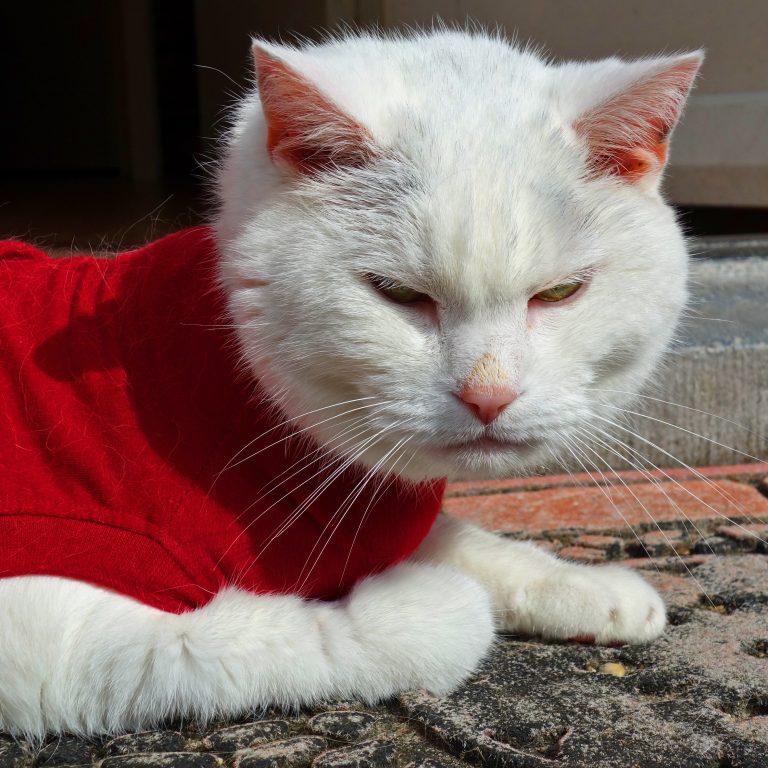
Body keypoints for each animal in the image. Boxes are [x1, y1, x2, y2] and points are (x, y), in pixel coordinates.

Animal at [0, 31, 700, 736]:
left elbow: (467, 539)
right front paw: (430, 598)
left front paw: (589, 588)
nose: (489, 396)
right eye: (398, 294)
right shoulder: (57, 640)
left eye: (560, 293)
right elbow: (312, 637)